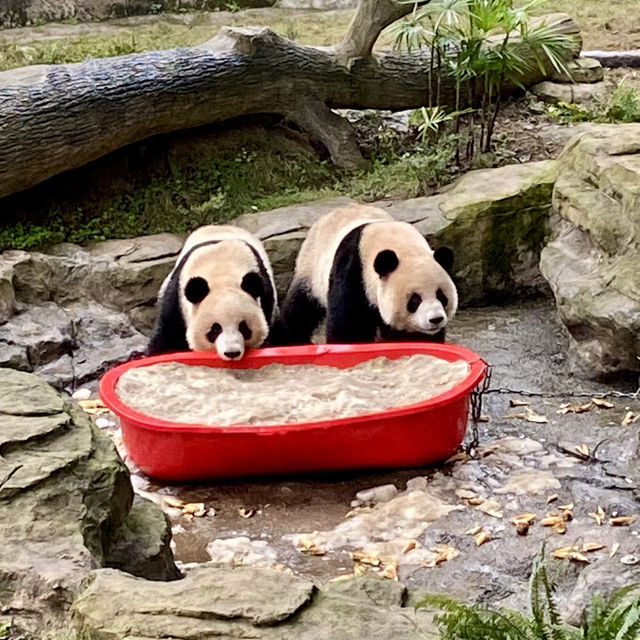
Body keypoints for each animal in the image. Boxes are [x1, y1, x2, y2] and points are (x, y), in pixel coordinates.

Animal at [148, 226, 278, 360]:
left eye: (243, 327)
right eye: (215, 329)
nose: (232, 353)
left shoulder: (265, 295)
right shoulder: (177, 293)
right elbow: (168, 331)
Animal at [280, 205, 456, 344]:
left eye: (441, 296)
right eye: (415, 300)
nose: (436, 319)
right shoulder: (353, 271)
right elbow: (349, 325)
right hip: (312, 267)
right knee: (301, 306)